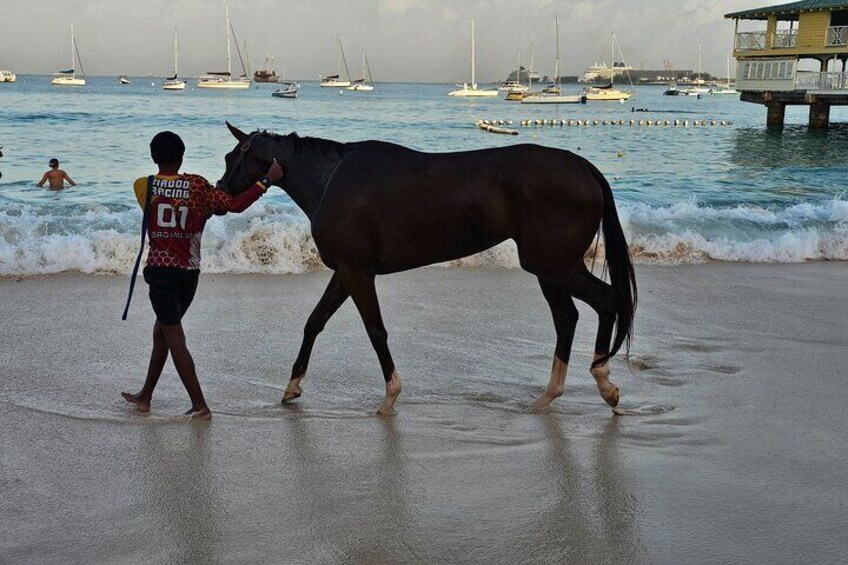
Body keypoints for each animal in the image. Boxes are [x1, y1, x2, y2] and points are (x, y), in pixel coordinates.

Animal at [219, 123, 636, 414]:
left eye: (229, 158)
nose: (220, 192)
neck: (331, 180)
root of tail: (584, 168)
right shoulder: (347, 272)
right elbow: (314, 322)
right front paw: (292, 386)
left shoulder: (357, 273)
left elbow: (376, 331)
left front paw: (390, 396)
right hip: (550, 268)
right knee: (568, 317)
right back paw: (551, 395)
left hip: (553, 265)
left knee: (606, 301)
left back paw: (604, 383)